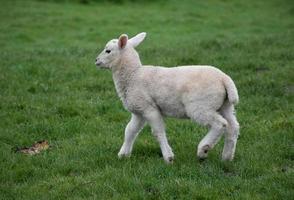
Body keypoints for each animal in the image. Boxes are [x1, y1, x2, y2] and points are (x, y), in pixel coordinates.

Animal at [95, 32, 240, 163]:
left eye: (108, 51)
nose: (96, 60)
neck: (133, 75)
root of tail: (224, 79)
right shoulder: (139, 111)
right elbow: (130, 130)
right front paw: (123, 154)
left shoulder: (149, 108)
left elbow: (158, 132)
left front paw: (168, 157)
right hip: (225, 105)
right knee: (233, 127)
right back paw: (227, 158)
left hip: (200, 106)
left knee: (220, 124)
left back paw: (203, 149)